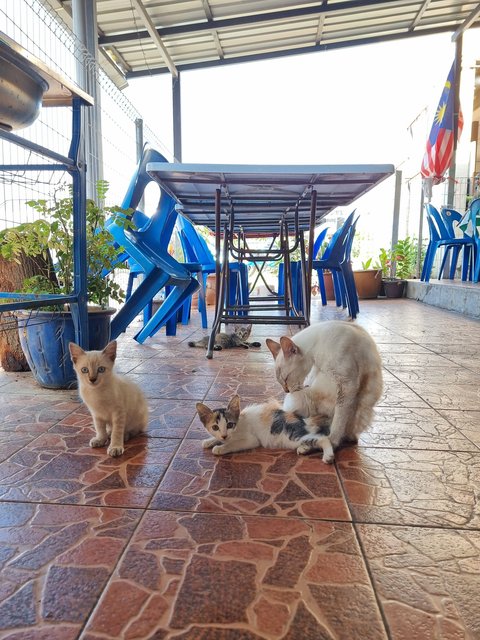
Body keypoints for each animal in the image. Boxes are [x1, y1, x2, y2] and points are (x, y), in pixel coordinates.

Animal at [195, 392, 334, 462]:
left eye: (230, 424)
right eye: (215, 427)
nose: (224, 435)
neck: (239, 423)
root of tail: (304, 419)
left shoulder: (251, 440)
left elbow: (233, 444)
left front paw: (220, 448)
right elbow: (218, 438)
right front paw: (209, 441)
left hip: (292, 435)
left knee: (323, 438)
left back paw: (328, 456)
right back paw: (304, 448)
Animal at [266, 320, 382, 450]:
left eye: (286, 379)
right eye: (280, 382)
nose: (286, 391)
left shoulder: (346, 386)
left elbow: (338, 422)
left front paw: (332, 442)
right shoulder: (316, 370)